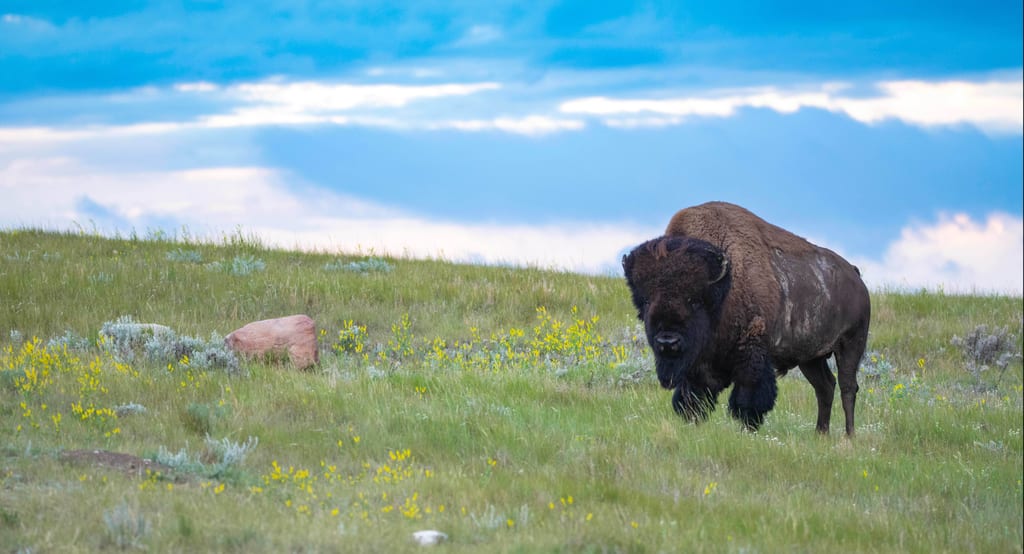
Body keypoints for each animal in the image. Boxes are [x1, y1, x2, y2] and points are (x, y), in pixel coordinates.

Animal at [622, 202, 870, 435]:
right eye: (646, 301)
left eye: (695, 300)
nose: (668, 341)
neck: (724, 285)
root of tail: (855, 276)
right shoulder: (698, 365)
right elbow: (692, 398)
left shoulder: (752, 353)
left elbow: (747, 397)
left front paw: (747, 428)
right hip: (810, 358)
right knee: (825, 387)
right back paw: (821, 434)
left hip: (851, 344)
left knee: (848, 387)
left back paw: (849, 436)